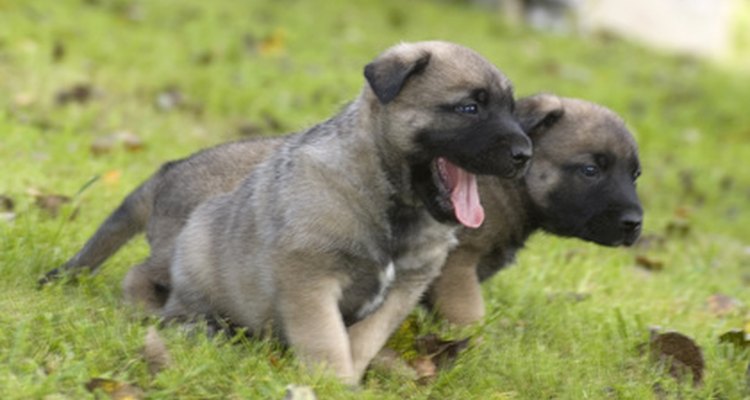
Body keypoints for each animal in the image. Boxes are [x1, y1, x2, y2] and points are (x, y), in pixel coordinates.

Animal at [162, 41, 532, 384]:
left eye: (511, 109)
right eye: (470, 107)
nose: (525, 154)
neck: (389, 201)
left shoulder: (401, 290)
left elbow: (362, 342)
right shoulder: (310, 280)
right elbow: (326, 340)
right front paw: (332, 384)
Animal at [428, 94, 648, 324]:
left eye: (635, 175)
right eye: (590, 170)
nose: (634, 222)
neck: (508, 185)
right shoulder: (458, 264)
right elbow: (467, 314)